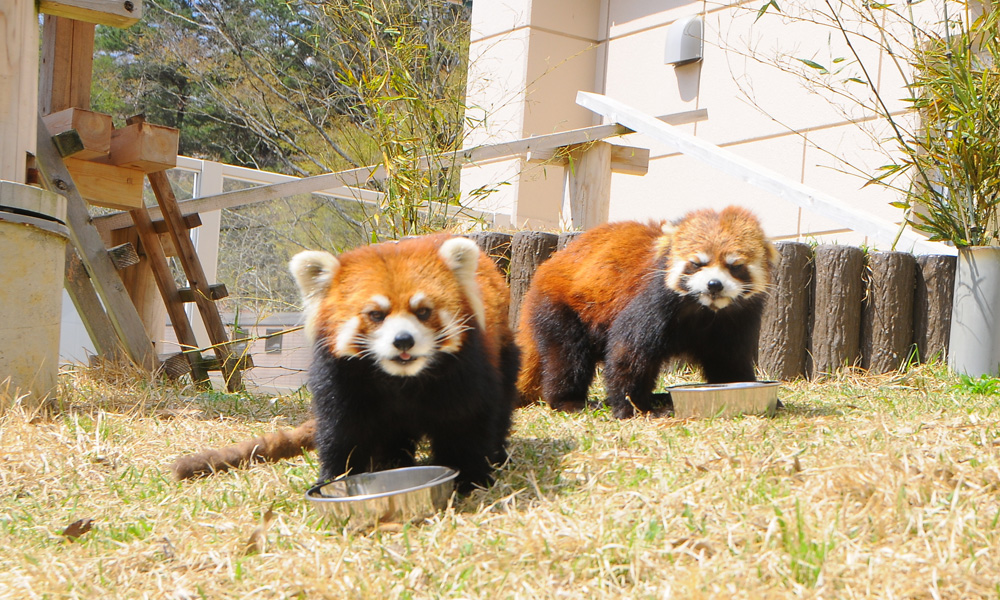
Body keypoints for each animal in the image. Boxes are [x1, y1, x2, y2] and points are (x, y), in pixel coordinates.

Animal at [173, 232, 520, 490]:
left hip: (504, 351)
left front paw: (469, 478)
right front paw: (336, 477)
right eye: (376, 315)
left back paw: (498, 453)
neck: (401, 379)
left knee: (501, 402)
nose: (403, 340)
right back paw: (392, 462)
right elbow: (344, 429)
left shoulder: (464, 373)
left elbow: (466, 421)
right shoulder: (343, 380)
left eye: (423, 311)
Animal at [520, 205, 776, 418]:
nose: (714, 284)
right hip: (560, 307)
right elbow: (630, 352)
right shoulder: (652, 301)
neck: (704, 309)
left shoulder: (733, 320)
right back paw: (569, 401)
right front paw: (633, 407)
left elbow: (727, 359)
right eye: (697, 264)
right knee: (566, 356)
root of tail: (549, 265)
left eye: (735, 266)